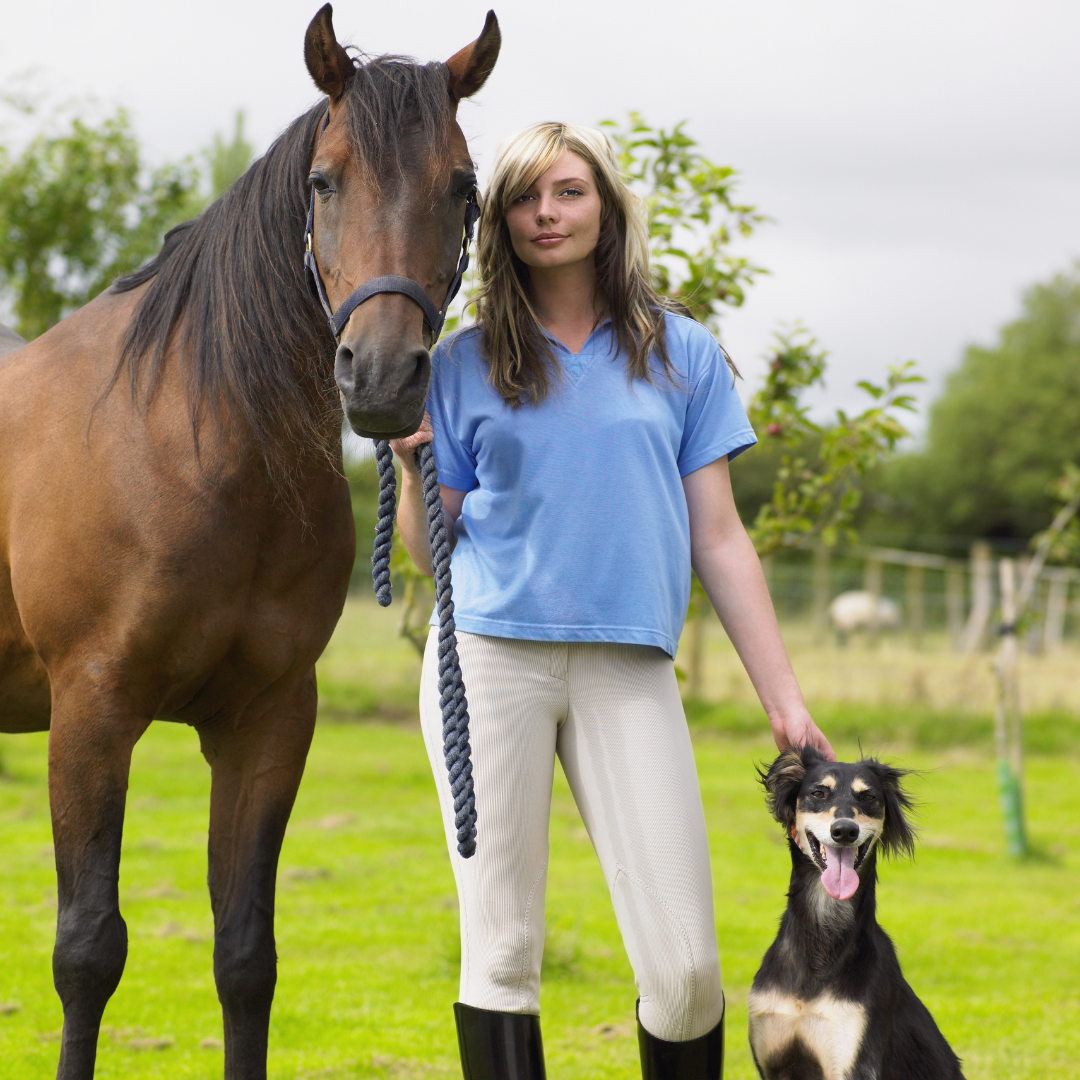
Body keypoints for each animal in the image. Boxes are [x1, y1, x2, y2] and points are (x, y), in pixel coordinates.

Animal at [0, 6, 500, 1078]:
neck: (194, 444)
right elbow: (86, 951)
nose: (382, 375)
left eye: (463, 186)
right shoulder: (91, 712)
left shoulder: (268, 721)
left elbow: (245, 954)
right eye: (325, 180)